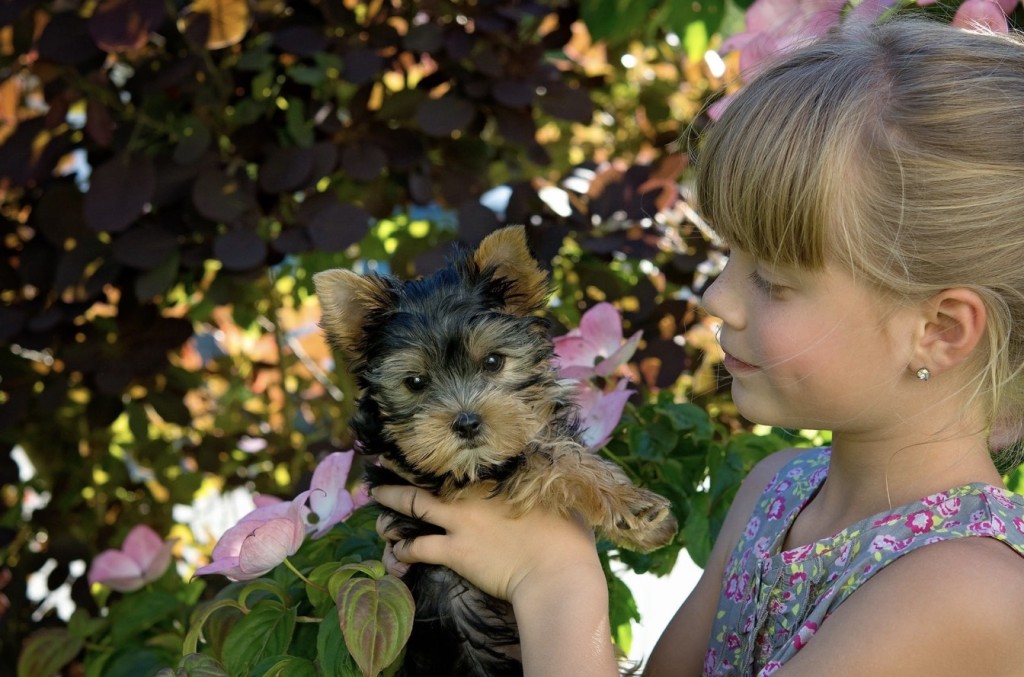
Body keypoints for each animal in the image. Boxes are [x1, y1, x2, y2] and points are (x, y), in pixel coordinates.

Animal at [315, 225, 675, 675]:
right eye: (414, 382)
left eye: (492, 362)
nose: (467, 422)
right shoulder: (443, 474)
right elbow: (545, 461)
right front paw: (634, 509)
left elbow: (553, 447)